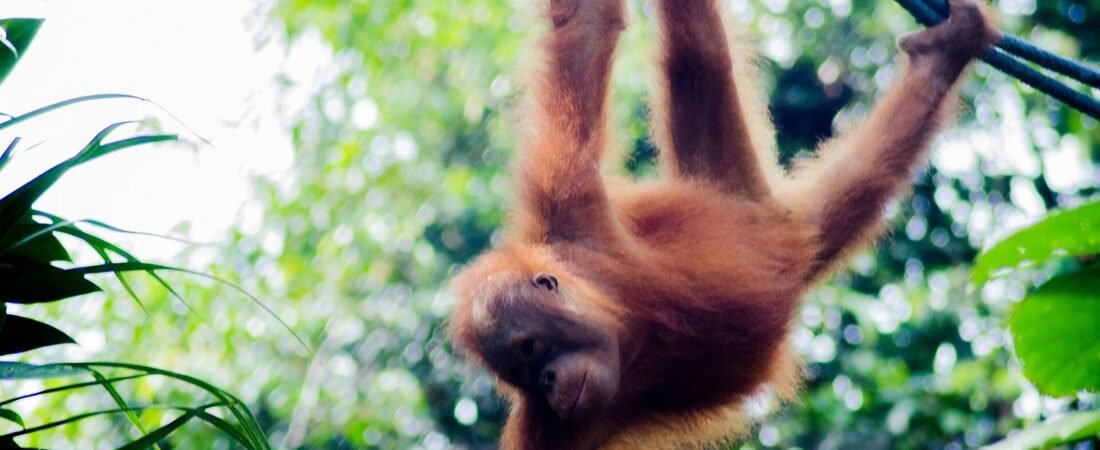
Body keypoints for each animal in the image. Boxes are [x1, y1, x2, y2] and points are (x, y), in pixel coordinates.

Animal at [448, 0, 999, 448]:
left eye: (532, 349)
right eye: (521, 374)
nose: (548, 382)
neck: (630, 329)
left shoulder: (567, 204)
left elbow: (584, 29)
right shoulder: (552, 427)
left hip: (747, 203)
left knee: (698, 55)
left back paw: (944, 52)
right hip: (776, 218)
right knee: (853, 189)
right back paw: (944, 57)